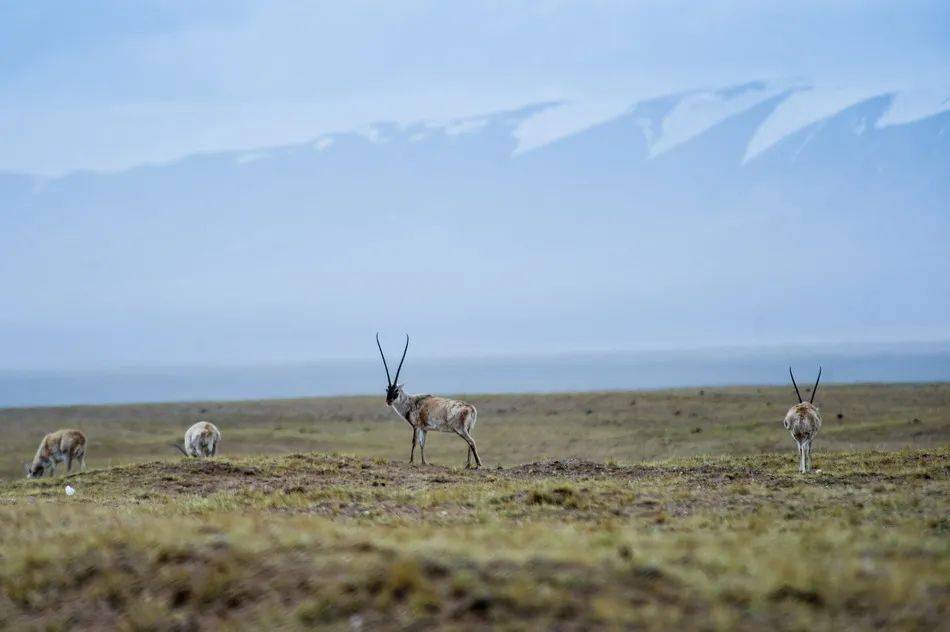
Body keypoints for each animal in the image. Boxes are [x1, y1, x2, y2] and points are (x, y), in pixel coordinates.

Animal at [378, 334, 484, 466]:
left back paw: (478, 464)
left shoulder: (416, 426)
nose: (388, 401)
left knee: (471, 441)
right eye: (388, 390)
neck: (411, 402)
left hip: (460, 429)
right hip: (468, 429)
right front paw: (424, 462)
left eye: (396, 391)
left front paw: (411, 461)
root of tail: (471, 408)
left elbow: (414, 442)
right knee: (469, 443)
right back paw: (468, 465)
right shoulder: (424, 429)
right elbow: (422, 444)